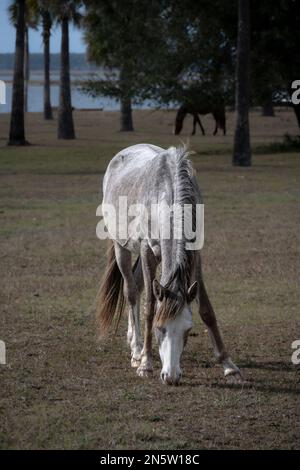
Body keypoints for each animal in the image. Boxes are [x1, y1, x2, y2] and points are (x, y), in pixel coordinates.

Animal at [96, 144, 241, 386]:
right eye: (159, 328)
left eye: (188, 330)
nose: (171, 377)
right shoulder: (146, 250)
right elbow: (149, 307)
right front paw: (145, 364)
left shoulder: (195, 253)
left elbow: (206, 309)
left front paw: (228, 365)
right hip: (121, 247)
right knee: (131, 291)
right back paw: (136, 350)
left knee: (137, 285)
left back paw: (131, 339)